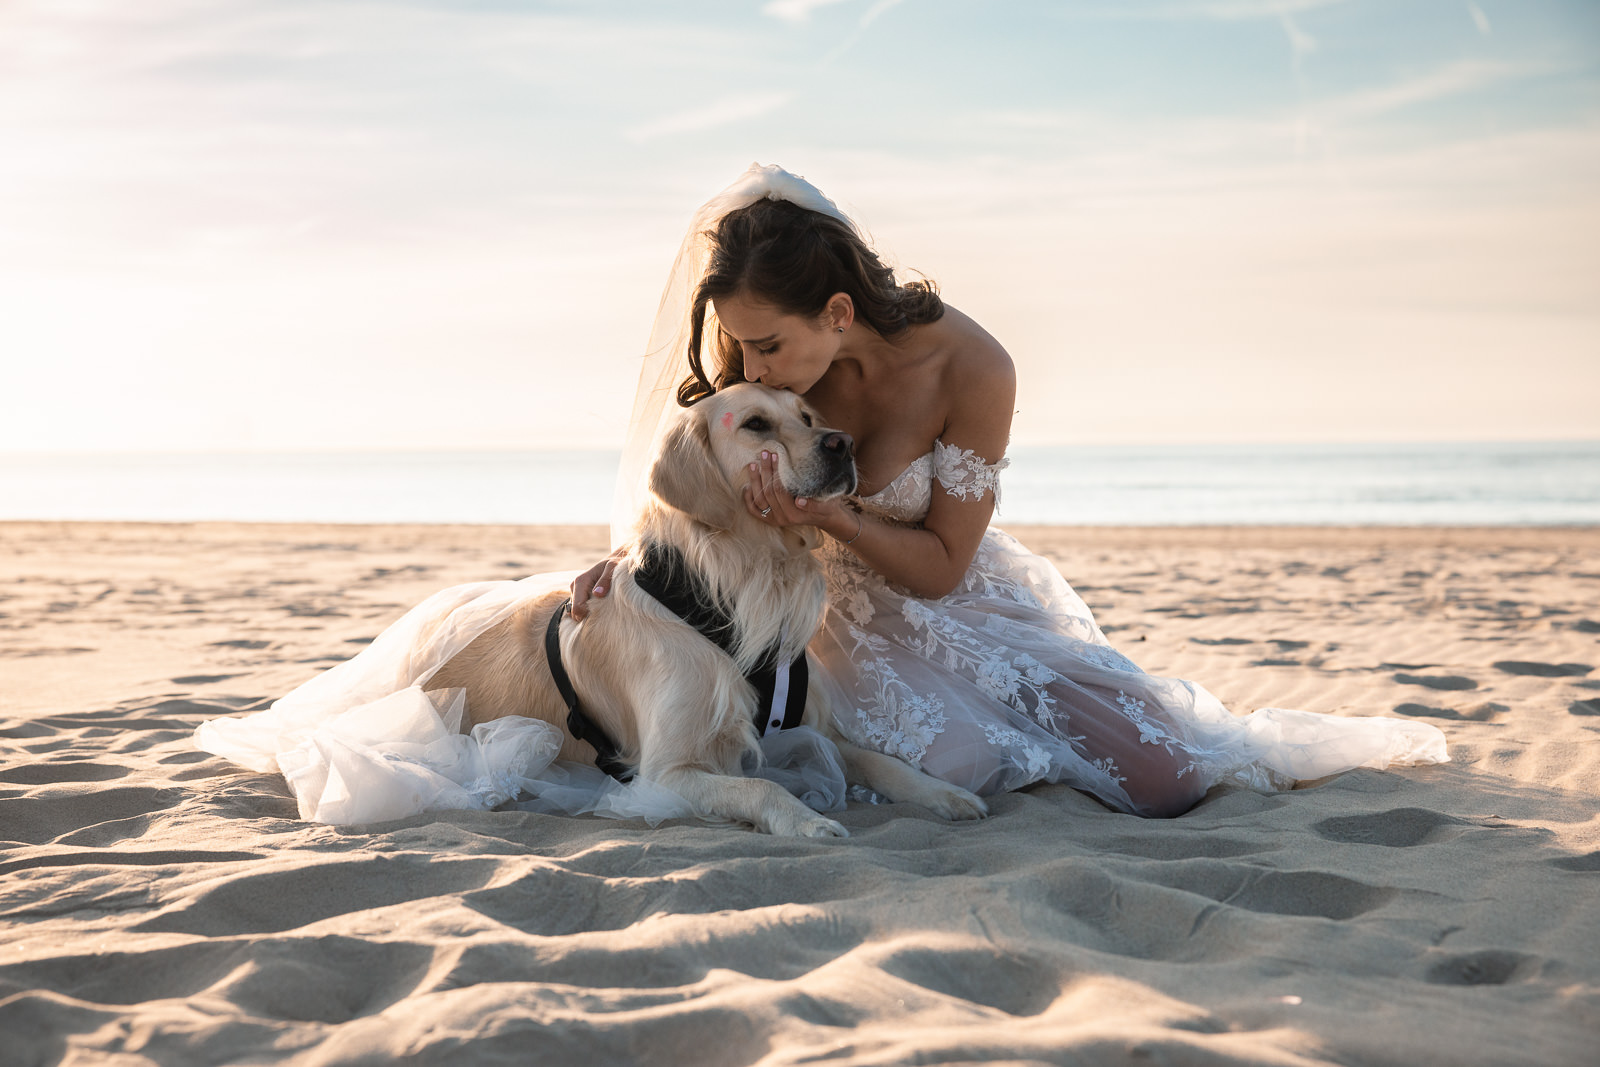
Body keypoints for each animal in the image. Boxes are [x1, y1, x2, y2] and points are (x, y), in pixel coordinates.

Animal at [432, 382, 992, 831]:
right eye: (756, 424)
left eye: (807, 417)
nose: (843, 443)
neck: (750, 577)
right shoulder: (663, 774)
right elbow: (762, 786)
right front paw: (807, 821)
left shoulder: (812, 729)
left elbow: (882, 762)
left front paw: (946, 794)